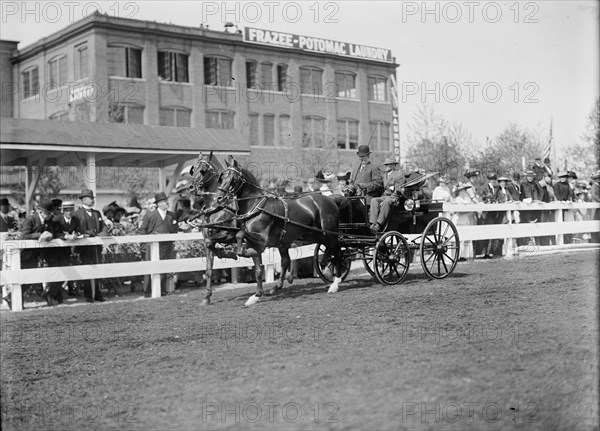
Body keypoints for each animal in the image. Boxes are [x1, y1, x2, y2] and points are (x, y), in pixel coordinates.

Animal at [186, 152, 238, 308]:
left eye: (204, 170)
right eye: (193, 169)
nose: (190, 187)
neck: (216, 208)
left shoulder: (229, 234)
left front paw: (230, 253)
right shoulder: (208, 241)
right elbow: (209, 269)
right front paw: (207, 297)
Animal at [217, 157, 344, 306]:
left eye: (233, 179)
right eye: (222, 177)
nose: (219, 198)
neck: (256, 207)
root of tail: (331, 199)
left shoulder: (262, 240)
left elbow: (239, 234)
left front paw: (239, 253)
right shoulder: (256, 243)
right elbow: (258, 270)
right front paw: (256, 296)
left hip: (328, 232)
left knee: (337, 250)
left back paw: (335, 283)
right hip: (312, 234)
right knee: (323, 249)